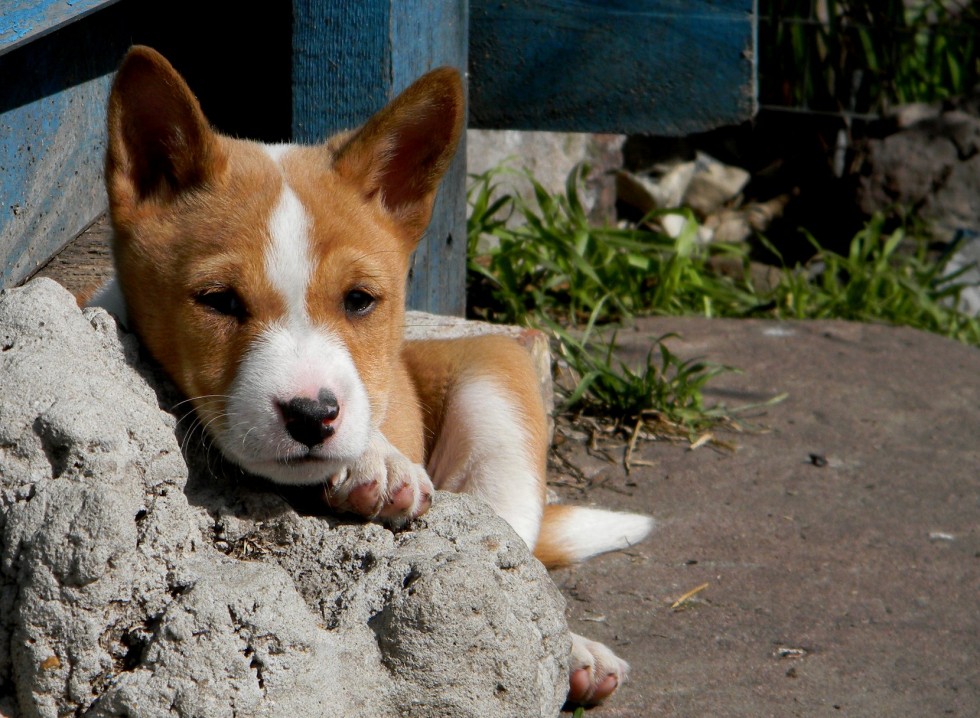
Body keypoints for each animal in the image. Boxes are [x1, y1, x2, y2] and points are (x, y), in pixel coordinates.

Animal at [95, 46, 656, 708]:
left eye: (360, 300)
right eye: (219, 301)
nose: (312, 416)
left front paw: (377, 460)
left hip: (498, 388)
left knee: (515, 562)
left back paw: (574, 654)